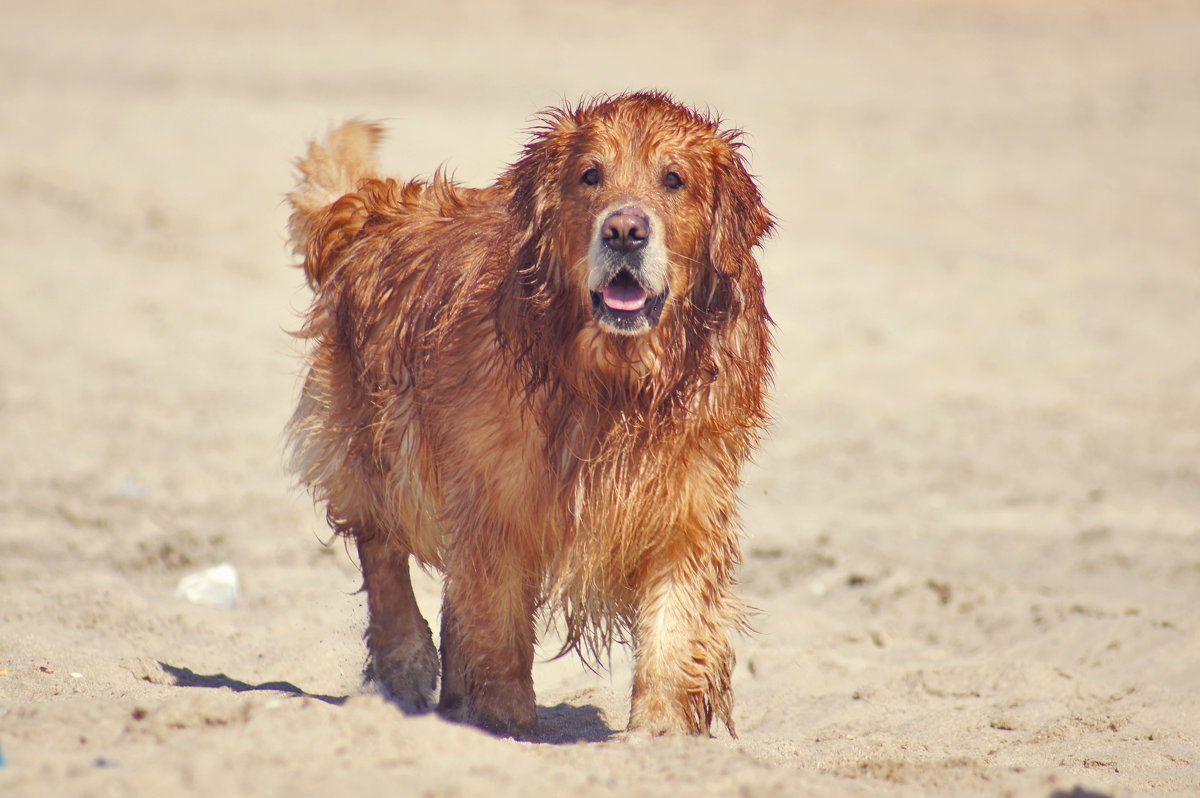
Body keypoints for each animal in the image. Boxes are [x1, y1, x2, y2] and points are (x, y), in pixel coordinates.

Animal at [285, 91, 772, 734]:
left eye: (674, 180)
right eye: (590, 175)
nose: (624, 231)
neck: (611, 384)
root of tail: (372, 209)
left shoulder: (686, 499)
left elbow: (676, 624)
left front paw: (660, 730)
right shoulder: (495, 497)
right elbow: (498, 623)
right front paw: (506, 720)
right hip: (377, 444)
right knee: (381, 547)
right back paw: (408, 661)